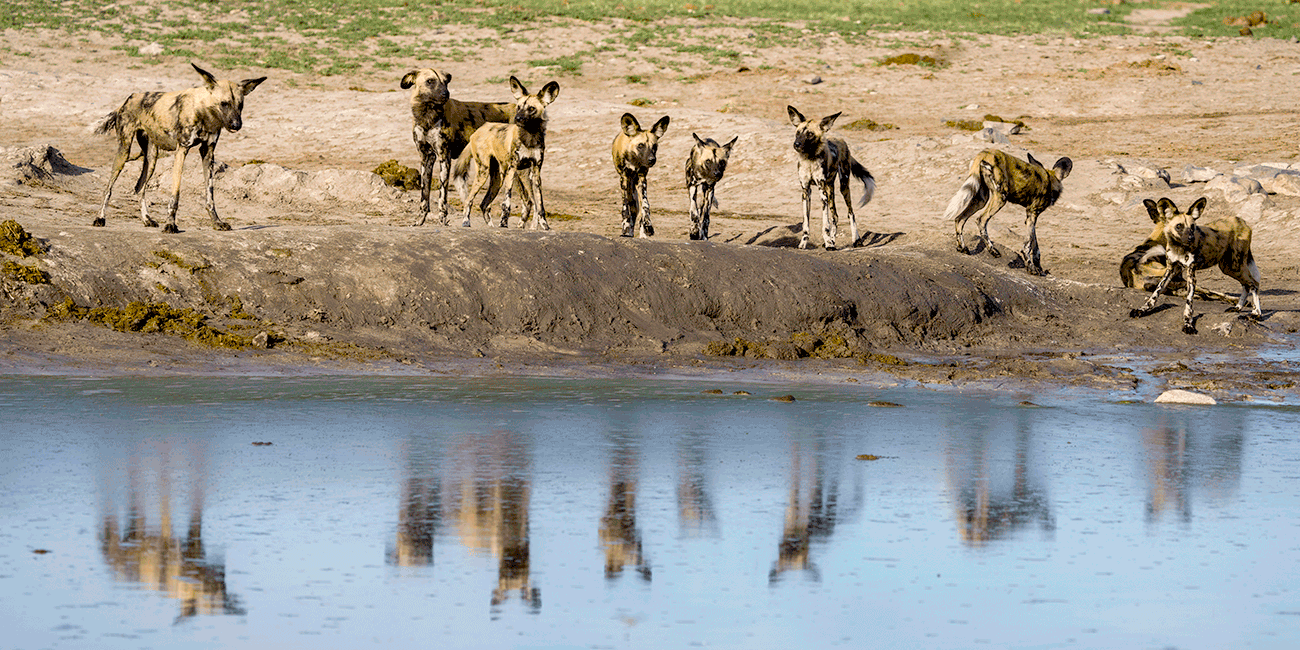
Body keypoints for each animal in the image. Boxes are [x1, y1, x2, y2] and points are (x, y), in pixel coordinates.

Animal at [94, 61, 266, 233]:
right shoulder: (182, 150)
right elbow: (175, 195)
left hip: (151, 159)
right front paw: (170, 224)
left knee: (139, 187)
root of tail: (129, 98)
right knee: (108, 189)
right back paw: (100, 218)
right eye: (224, 104)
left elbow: (210, 196)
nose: (237, 125)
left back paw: (147, 219)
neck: (205, 113)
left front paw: (217, 222)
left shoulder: (208, 152)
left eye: (240, 105)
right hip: (124, 152)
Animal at [397, 68, 514, 226]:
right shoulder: (426, 159)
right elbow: (424, 197)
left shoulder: (444, 159)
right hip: (496, 173)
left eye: (445, 82)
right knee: (485, 204)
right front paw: (419, 221)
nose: (446, 94)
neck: (427, 116)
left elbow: (442, 198)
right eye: (430, 81)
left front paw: (442, 221)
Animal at [457, 76, 559, 230]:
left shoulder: (536, 173)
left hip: (498, 179)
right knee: (469, 199)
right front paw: (503, 223)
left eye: (531, 108)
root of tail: (480, 129)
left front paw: (545, 226)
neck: (530, 137)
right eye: (519, 107)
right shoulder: (513, 168)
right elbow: (507, 203)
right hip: (484, 172)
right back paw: (466, 222)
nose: (517, 119)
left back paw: (490, 226)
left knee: (484, 204)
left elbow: (540, 205)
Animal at [785, 105, 878, 249]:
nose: (796, 144)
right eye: (798, 132)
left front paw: (828, 243)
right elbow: (806, 223)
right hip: (830, 190)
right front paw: (804, 243)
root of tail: (841, 140)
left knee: (850, 213)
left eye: (810, 134)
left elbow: (825, 224)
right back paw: (833, 240)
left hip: (843, 187)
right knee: (835, 216)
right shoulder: (806, 191)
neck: (810, 159)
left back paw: (855, 239)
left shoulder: (821, 190)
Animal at [1128, 197, 1258, 335]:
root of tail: (1241, 220)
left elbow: (1189, 303)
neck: (1178, 248)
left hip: (1234, 266)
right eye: (1179, 226)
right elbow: (1155, 293)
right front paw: (1142, 310)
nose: (1191, 238)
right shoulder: (1170, 271)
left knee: (1253, 284)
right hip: (1228, 267)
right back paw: (1238, 308)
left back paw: (1256, 314)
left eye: (1192, 226)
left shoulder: (1191, 275)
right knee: (1246, 285)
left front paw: (1188, 324)